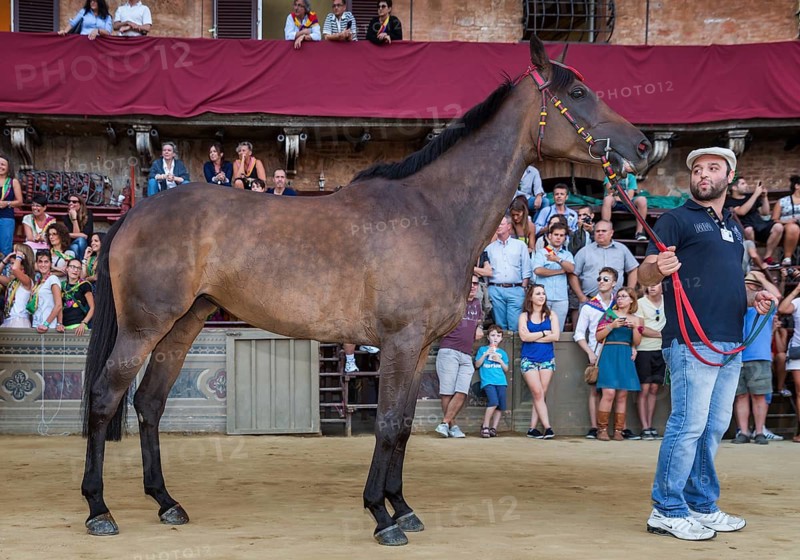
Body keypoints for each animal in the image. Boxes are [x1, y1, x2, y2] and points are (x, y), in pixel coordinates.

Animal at [81, 35, 651, 546]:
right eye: (578, 92)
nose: (643, 145)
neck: (433, 212)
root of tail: (134, 212)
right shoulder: (399, 342)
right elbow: (387, 424)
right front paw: (381, 516)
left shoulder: (419, 349)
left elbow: (403, 425)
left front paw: (402, 507)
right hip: (143, 328)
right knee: (105, 398)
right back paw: (99, 509)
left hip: (183, 325)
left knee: (149, 403)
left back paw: (166, 502)